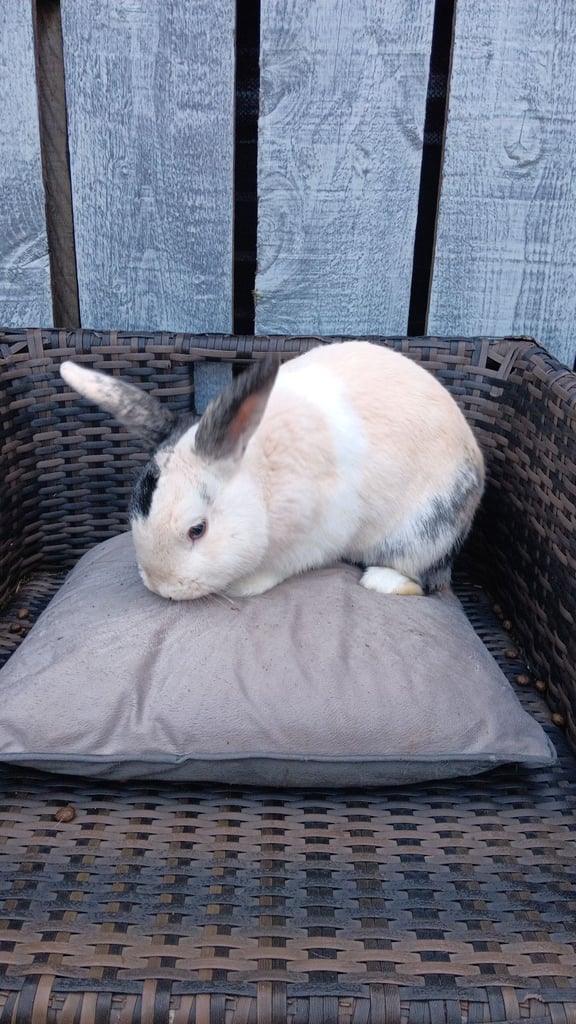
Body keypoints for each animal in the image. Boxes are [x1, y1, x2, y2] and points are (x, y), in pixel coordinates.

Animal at [59, 341, 485, 601]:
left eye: (198, 530)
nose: (162, 587)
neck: (261, 482)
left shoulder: (318, 535)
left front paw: (245, 586)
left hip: (424, 535)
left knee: (425, 581)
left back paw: (381, 581)